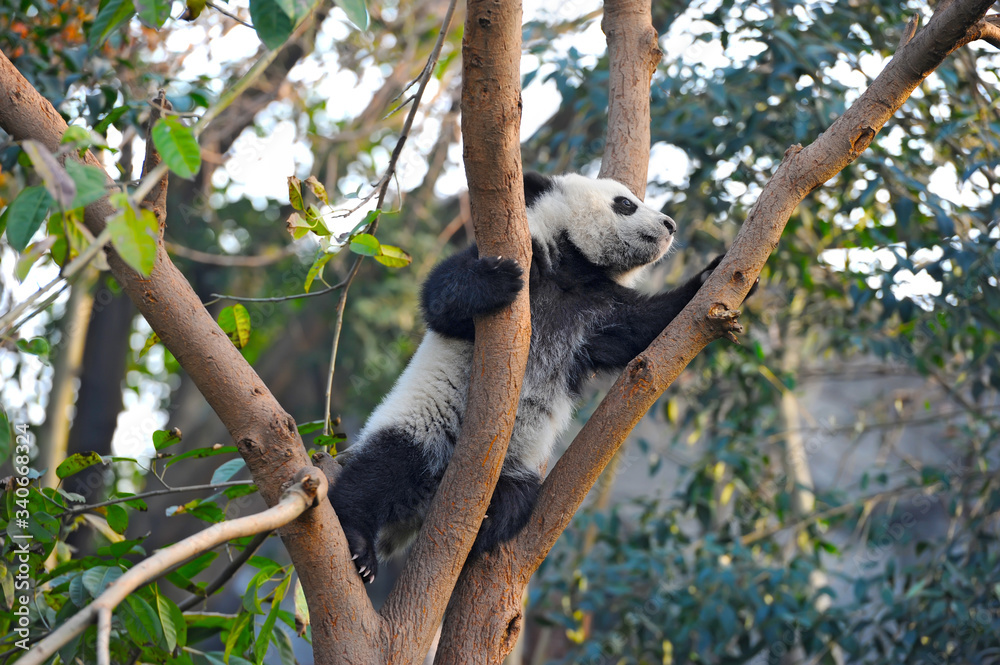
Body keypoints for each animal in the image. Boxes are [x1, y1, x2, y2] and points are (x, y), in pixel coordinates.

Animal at [329, 172, 744, 583]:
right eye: (625, 203)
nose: (670, 224)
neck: (571, 271)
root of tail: (418, 512)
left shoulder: (594, 311)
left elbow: (642, 328)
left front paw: (714, 276)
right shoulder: (527, 261)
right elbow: (442, 299)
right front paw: (495, 280)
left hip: (517, 466)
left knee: (515, 500)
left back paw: (487, 525)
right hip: (423, 424)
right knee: (382, 470)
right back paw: (359, 545)